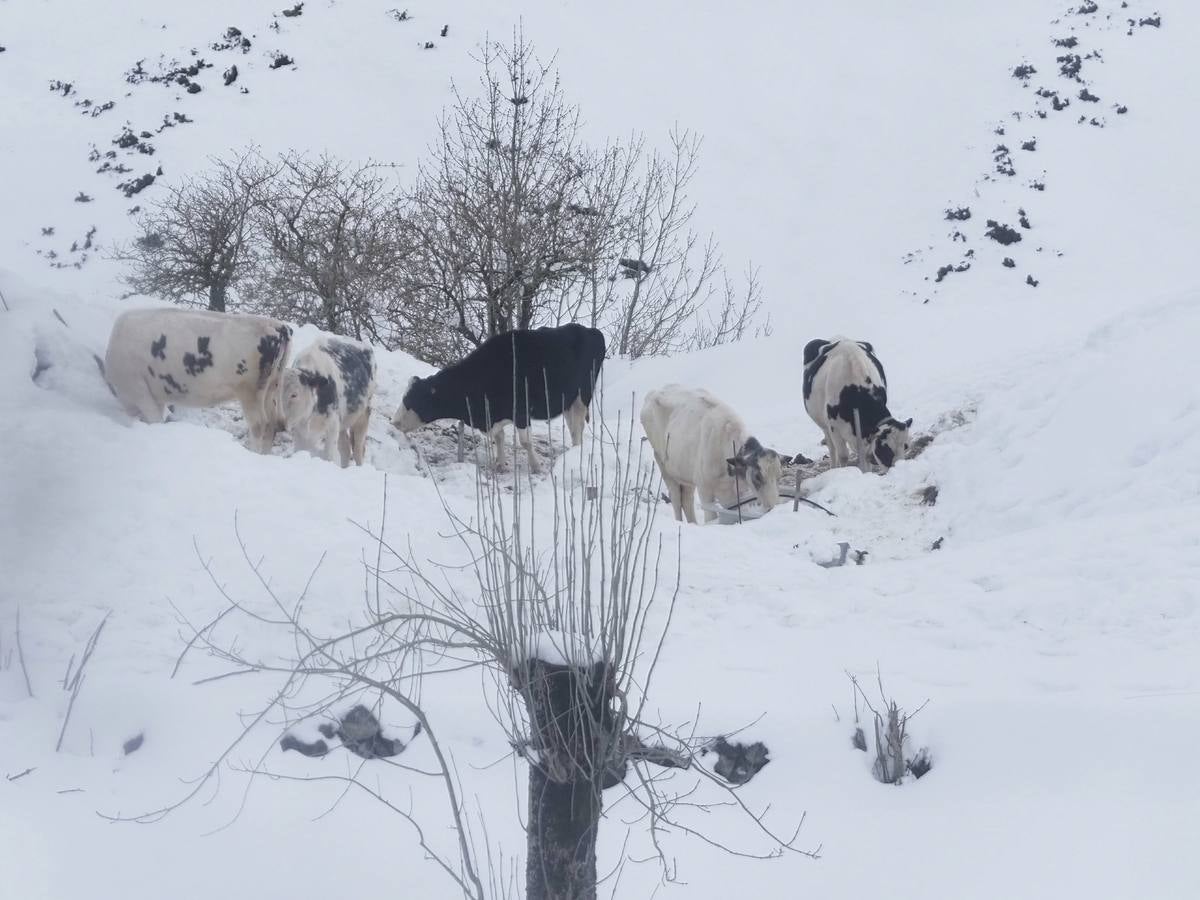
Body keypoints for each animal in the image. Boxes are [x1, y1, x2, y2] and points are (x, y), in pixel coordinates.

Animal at [102, 309, 291, 453]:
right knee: (272, 424)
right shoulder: (155, 395)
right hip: (272, 386)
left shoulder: (138, 390)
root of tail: (277, 325)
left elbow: (154, 419)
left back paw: (252, 452)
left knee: (259, 424)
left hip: (249, 390)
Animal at [279, 336, 376, 468]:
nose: (279, 421)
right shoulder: (300, 430)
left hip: (363, 415)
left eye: (294, 394)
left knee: (358, 449)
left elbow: (329, 456)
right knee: (345, 448)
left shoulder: (332, 425)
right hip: (343, 422)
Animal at [396, 326, 609, 480]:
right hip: (567, 401)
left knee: (576, 428)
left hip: (582, 397)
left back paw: (576, 452)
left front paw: (536, 467)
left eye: (412, 401)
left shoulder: (521, 411)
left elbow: (526, 442)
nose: (394, 422)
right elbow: (499, 437)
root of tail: (591, 330)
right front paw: (500, 464)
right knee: (573, 427)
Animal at [638, 384, 787, 525]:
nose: (773, 508)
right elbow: (710, 517)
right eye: (757, 476)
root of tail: (653, 392)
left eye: (779, 476)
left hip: (686, 473)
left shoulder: (736, 492)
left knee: (686, 499)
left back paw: (693, 523)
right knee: (675, 497)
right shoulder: (704, 488)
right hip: (663, 463)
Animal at [806, 338, 907, 472]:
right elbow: (843, 455)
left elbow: (866, 455)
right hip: (824, 425)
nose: (899, 469)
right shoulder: (834, 427)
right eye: (886, 450)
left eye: (906, 446)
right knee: (832, 448)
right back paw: (833, 468)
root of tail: (840, 339)